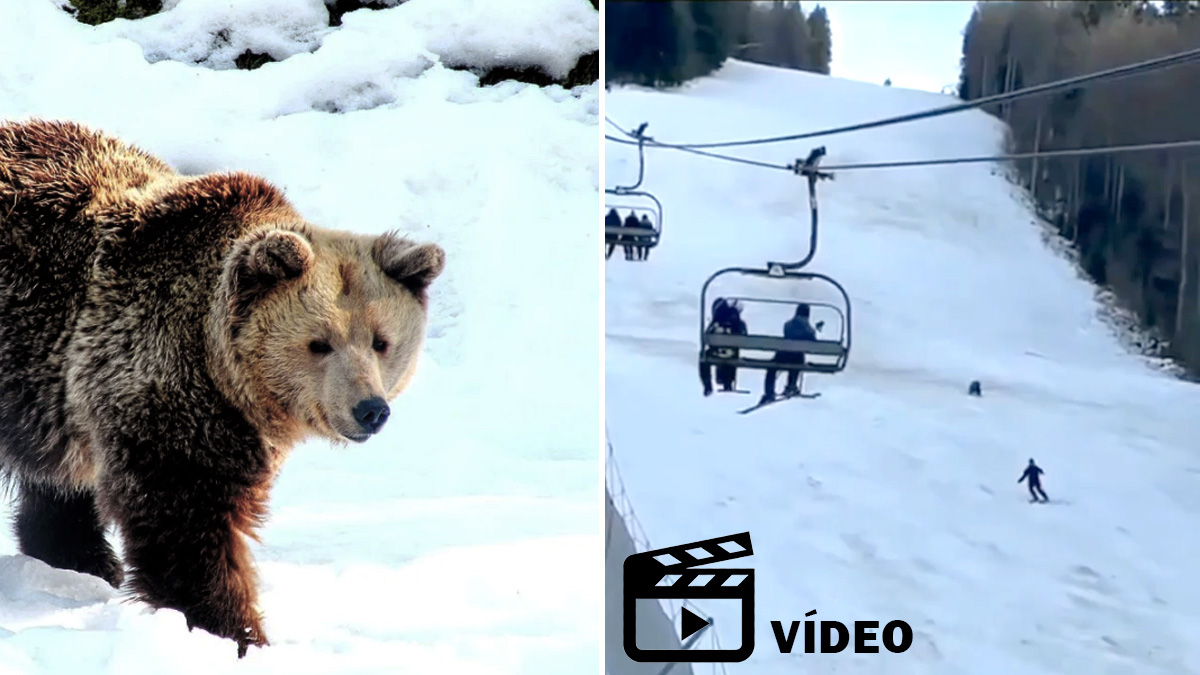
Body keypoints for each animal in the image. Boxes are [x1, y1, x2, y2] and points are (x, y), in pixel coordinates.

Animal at [0, 118, 446, 653]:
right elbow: (187, 519)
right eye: (319, 343)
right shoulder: (164, 384)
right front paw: (237, 629)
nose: (369, 409)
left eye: (381, 341)